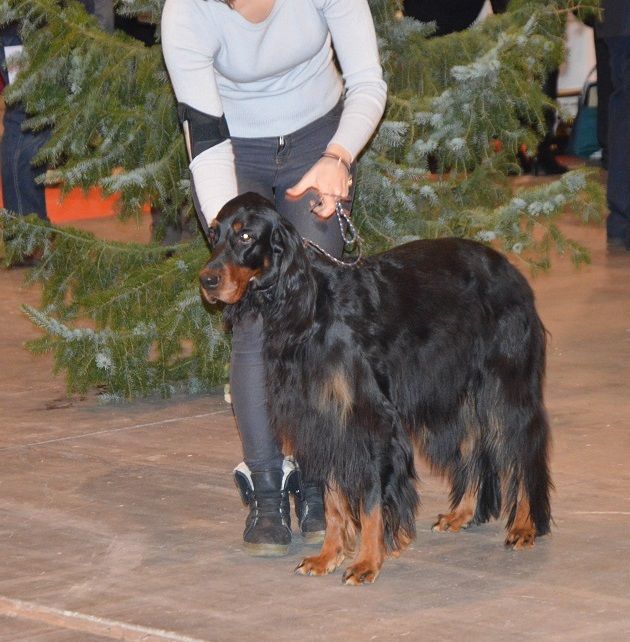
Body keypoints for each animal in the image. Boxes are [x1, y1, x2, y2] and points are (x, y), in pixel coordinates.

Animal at [202, 192, 552, 584]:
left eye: (245, 236)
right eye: (213, 235)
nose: (206, 280)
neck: (312, 310)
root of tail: (508, 267)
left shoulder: (370, 419)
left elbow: (370, 499)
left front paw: (367, 561)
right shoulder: (323, 419)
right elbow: (334, 500)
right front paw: (329, 555)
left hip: (507, 389)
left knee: (523, 451)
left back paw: (524, 526)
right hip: (455, 393)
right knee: (474, 444)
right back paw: (461, 513)